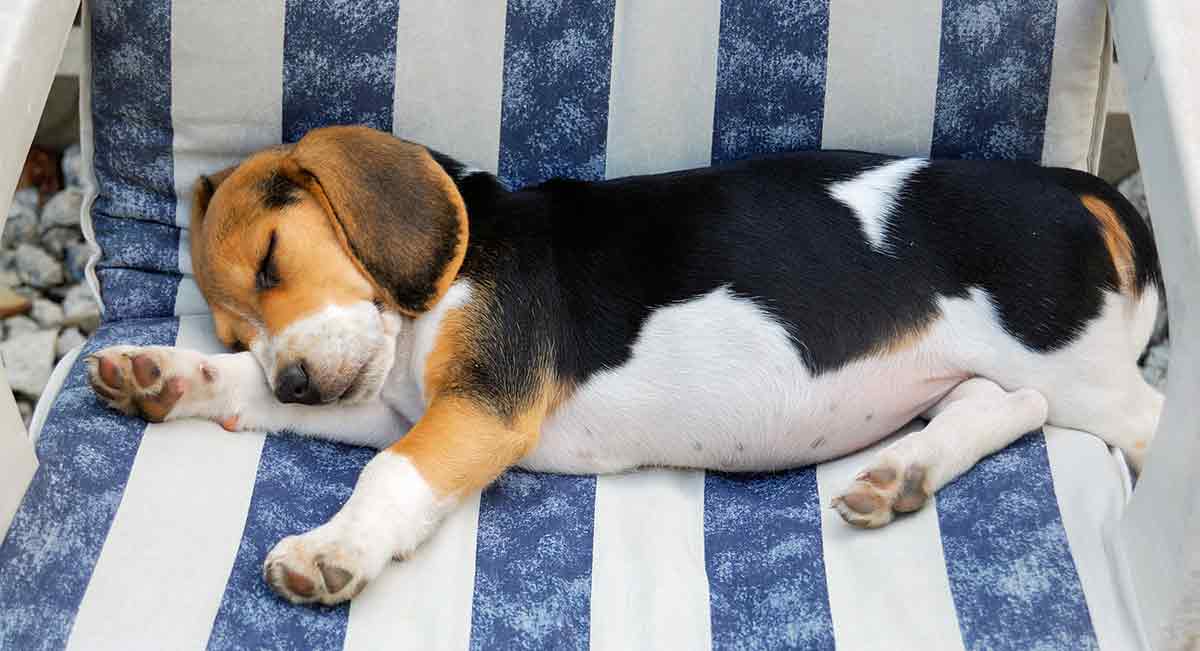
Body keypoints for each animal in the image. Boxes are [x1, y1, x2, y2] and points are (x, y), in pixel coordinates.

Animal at [84, 126, 1161, 607]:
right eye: (232, 332)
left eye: (272, 262)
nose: (298, 382)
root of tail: (1074, 188)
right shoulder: (396, 402)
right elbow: (279, 407)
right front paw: (163, 374)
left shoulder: (478, 408)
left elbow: (387, 477)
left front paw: (329, 549)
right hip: (1022, 377)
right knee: (999, 407)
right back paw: (899, 476)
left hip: (1092, 378)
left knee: (1120, 415)